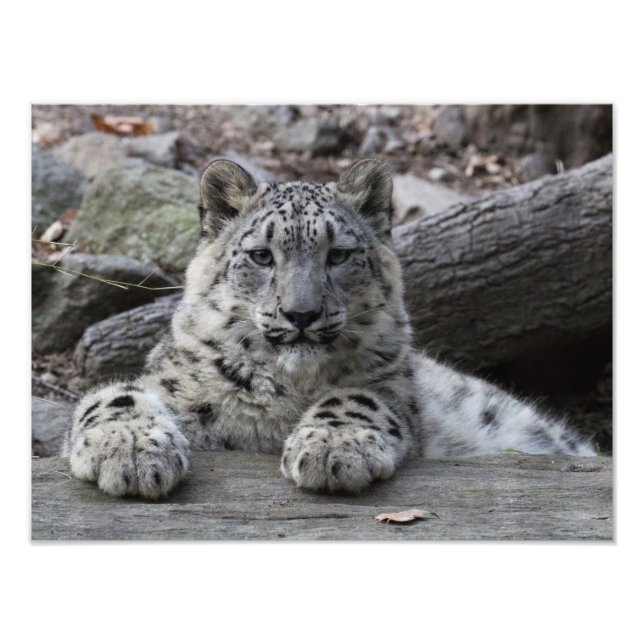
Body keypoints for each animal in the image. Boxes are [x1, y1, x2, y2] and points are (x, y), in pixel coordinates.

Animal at [63, 158, 595, 499]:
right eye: (261, 255)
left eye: (338, 254)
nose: (301, 314)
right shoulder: (168, 382)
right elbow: (113, 395)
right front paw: (131, 453)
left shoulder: (394, 387)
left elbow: (359, 397)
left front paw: (333, 449)